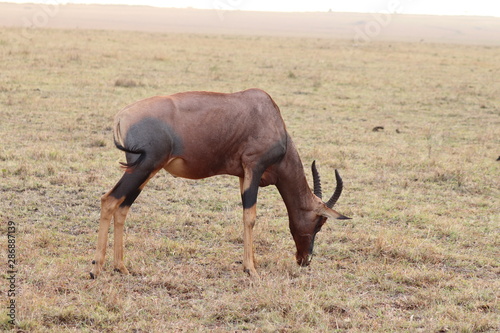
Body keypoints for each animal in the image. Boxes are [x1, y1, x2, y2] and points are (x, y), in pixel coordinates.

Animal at [90, 87, 350, 278]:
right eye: (319, 223)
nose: (304, 260)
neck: (267, 114)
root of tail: (122, 116)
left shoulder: (243, 174)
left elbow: (246, 216)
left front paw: (251, 264)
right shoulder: (254, 167)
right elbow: (250, 216)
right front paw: (251, 269)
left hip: (144, 170)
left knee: (123, 207)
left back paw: (121, 267)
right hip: (144, 167)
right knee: (109, 200)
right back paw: (96, 270)